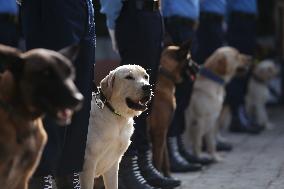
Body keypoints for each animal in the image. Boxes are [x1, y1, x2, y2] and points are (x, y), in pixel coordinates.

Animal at [148, 42, 199, 176]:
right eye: (189, 59)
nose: (199, 67)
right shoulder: (159, 131)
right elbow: (158, 159)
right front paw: (159, 176)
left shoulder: (164, 131)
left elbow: (165, 157)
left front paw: (168, 176)